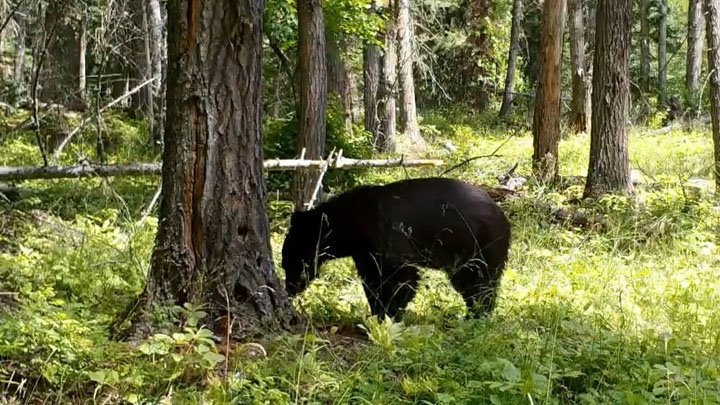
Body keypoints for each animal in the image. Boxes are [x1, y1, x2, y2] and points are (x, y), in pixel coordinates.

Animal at [282, 177, 512, 318]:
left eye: (290, 262)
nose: (290, 289)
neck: (351, 224)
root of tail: (504, 218)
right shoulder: (365, 253)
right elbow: (372, 281)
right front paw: (376, 312)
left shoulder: (386, 236)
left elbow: (402, 277)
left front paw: (390, 312)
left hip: (479, 246)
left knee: (480, 283)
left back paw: (476, 314)